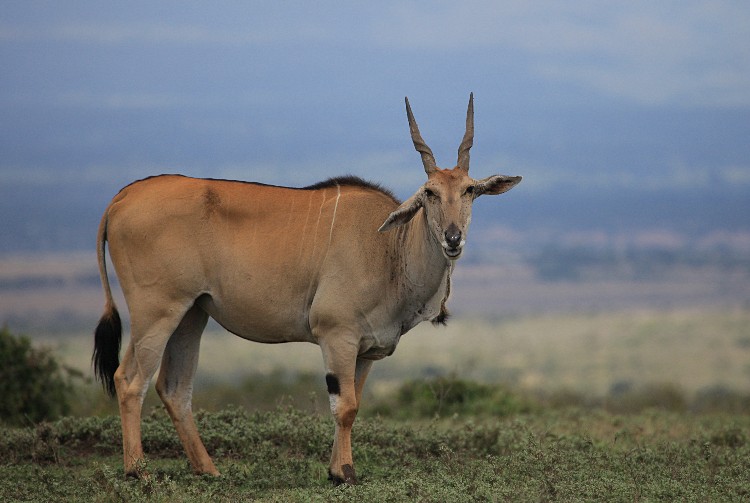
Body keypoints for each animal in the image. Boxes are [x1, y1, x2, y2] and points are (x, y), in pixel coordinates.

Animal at [94, 93, 524, 484]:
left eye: (469, 190)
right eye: (430, 192)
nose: (453, 238)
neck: (389, 247)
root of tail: (122, 198)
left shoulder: (364, 349)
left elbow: (354, 404)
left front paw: (335, 470)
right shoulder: (337, 336)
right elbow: (344, 407)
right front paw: (344, 473)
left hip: (192, 314)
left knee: (174, 388)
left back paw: (208, 471)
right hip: (156, 311)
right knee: (129, 381)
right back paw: (139, 472)